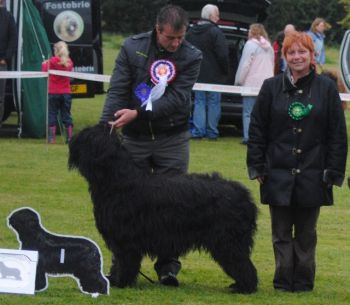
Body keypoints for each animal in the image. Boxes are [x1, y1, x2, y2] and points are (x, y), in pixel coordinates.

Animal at [68, 123, 258, 292]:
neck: (117, 180)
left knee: (242, 263)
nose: (71, 138)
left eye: (86, 134)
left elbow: (125, 261)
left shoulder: (125, 238)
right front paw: (115, 279)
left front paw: (120, 282)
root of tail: (243, 194)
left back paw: (244, 287)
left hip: (227, 240)